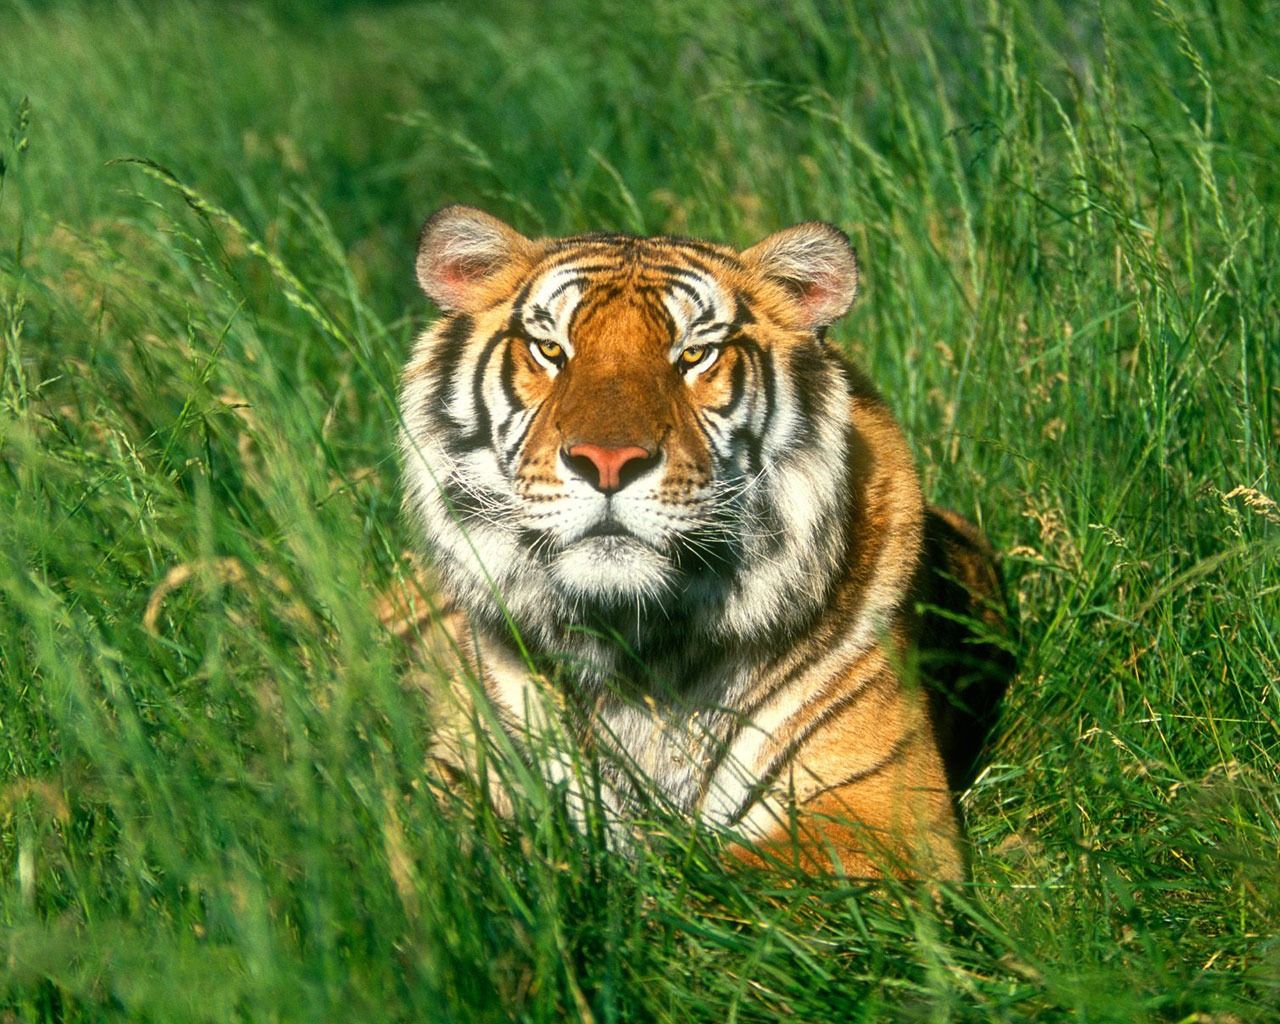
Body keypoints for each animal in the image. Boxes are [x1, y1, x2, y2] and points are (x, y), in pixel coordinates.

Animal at [395, 204, 1013, 881]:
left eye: (694, 355)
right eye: (551, 349)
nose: (607, 462)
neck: (634, 646)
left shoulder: (880, 817)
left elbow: (709, 885)